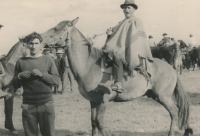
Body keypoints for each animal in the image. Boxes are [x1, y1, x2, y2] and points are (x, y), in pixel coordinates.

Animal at [61, 17, 193, 136]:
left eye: (59, 29)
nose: (177, 62)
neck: (89, 65)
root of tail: (172, 69)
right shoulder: (93, 100)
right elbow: (93, 122)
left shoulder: (104, 99)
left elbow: (99, 122)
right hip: (156, 95)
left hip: (163, 96)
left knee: (174, 112)